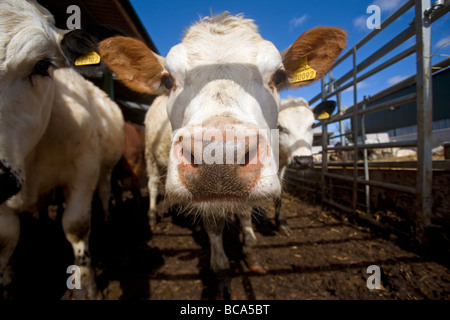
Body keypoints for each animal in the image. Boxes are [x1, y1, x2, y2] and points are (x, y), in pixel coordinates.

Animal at [0, 0, 124, 300]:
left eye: (42, 65)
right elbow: (6, 240)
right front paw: (7, 284)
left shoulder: (83, 170)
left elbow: (76, 226)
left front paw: (85, 286)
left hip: (104, 169)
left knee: (104, 193)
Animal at [97, 12, 344, 298]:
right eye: (168, 80)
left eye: (279, 76)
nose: (220, 157)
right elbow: (214, 228)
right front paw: (222, 274)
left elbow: (248, 213)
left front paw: (253, 254)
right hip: (147, 156)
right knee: (152, 184)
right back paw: (151, 216)